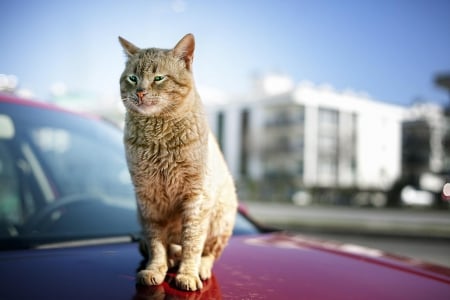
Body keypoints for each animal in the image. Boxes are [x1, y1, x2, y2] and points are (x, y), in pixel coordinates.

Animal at [118, 34, 239, 292]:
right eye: (133, 78)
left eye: (159, 78)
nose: (140, 92)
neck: (159, 139)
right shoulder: (147, 199)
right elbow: (156, 243)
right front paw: (156, 268)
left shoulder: (196, 198)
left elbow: (192, 242)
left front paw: (188, 274)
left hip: (222, 219)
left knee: (209, 253)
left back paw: (200, 267)